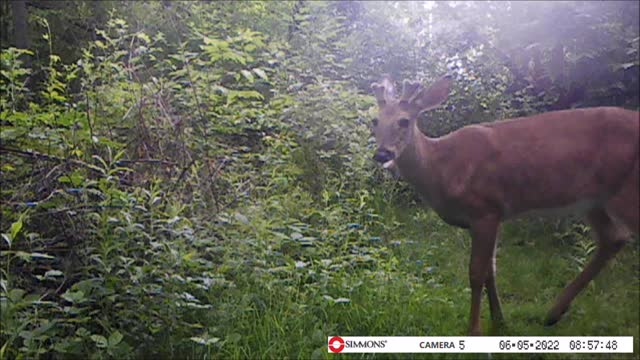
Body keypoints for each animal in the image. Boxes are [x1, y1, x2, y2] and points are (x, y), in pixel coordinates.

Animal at [370, 74, 640, 336]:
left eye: (404, 121)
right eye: (374, 121)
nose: (382, 154)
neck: (443, 168)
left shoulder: (485, 209)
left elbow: (477, 272)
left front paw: (474, 329)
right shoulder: (489, 216)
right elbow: (491, 270)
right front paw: (499, 321)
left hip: (626, 191)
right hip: (594, 199)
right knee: (613, 238)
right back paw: (553, 314)